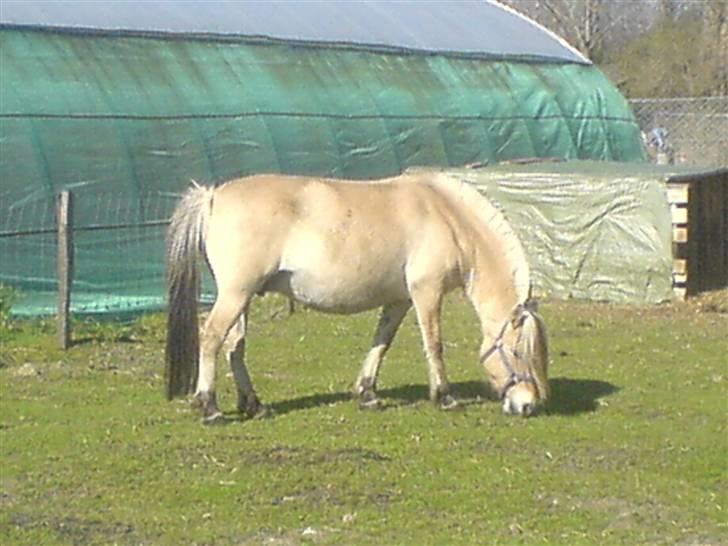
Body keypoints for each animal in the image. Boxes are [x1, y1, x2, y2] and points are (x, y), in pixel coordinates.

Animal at [165, 170, 548, 420]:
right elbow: (434, 344)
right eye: (517, 351)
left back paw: (255, 405)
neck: (447, 216)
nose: (528, 405)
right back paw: (209, 406)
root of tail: (213, 196)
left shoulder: (399, 300)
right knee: (212, 338)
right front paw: (444, 397)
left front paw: (367, 394)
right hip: (236, 294)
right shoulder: (427, 293)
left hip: (243, 298)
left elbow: (381, 342)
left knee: (235, 346)